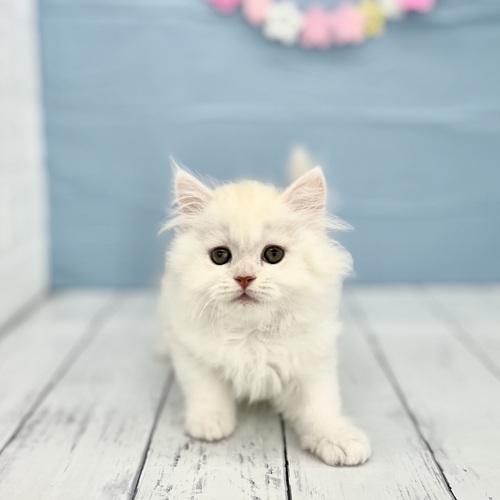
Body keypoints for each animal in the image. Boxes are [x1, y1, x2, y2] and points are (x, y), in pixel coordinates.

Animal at [159, 155, 371, 467]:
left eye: (273, 254)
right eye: (220, 256)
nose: (245, 278)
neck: (251, 334)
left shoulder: (313, 363)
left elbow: (319, 406)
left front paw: (338, 440)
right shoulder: (192, 354)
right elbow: (207, 392)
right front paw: (209, 424)